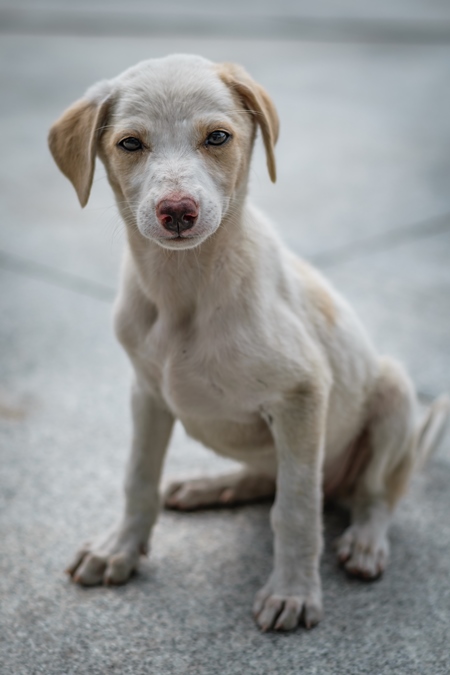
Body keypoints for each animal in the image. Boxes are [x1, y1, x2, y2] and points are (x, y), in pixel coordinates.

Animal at [47, 54, 448, 632]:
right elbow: (138, 477)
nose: (177, 211)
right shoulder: (147, 393)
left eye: (218, 137)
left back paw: (366, 541)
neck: (184, 290)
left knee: (374, 494)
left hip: (392, 393)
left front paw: (293, 592)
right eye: (130, 144)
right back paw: (211, 486)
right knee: (265, 478)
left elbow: (296, 510)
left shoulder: (303, 396)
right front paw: (118, 548)